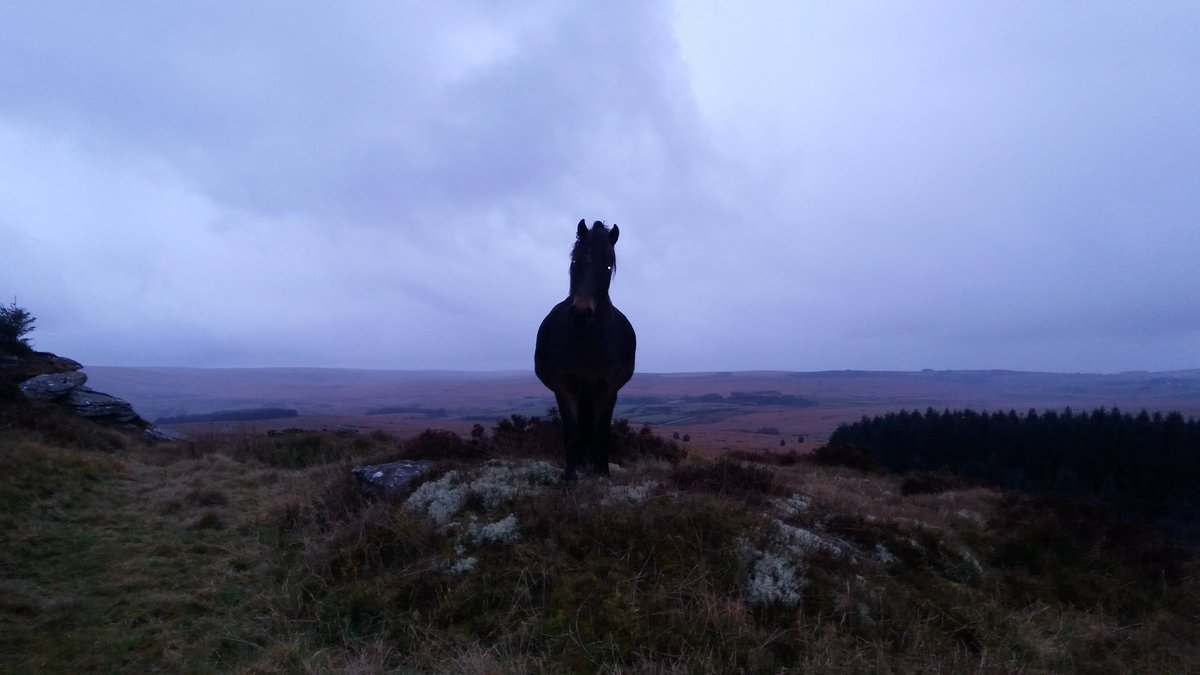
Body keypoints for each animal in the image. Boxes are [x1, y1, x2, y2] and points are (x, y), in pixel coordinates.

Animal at [535, 219, 637, 480]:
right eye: (575, 261)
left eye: (608, 266)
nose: (581, 313)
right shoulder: (564, 387)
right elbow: (572, 431)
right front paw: (571, 475)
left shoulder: (608, 388)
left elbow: (601, 432)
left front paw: (602, 473)